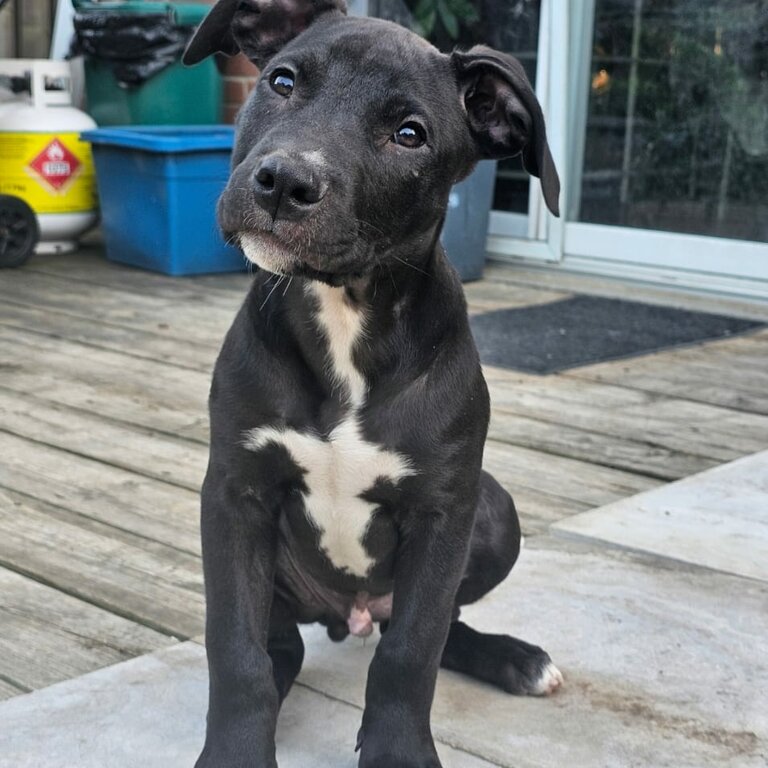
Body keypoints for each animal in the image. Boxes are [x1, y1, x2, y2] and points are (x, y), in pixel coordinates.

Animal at [183, 3, 560, 764]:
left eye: (410, 134)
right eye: (282, 81)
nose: (284, 181)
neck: (344, 314)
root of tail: (349, 615)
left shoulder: (444, 512)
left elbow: (411, 654)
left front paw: (398, 751)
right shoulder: (234, 493)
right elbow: (233, 650)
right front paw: (236, 748)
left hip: (493, 512)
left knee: (434, 629)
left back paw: (514, 659)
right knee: (278, 646)